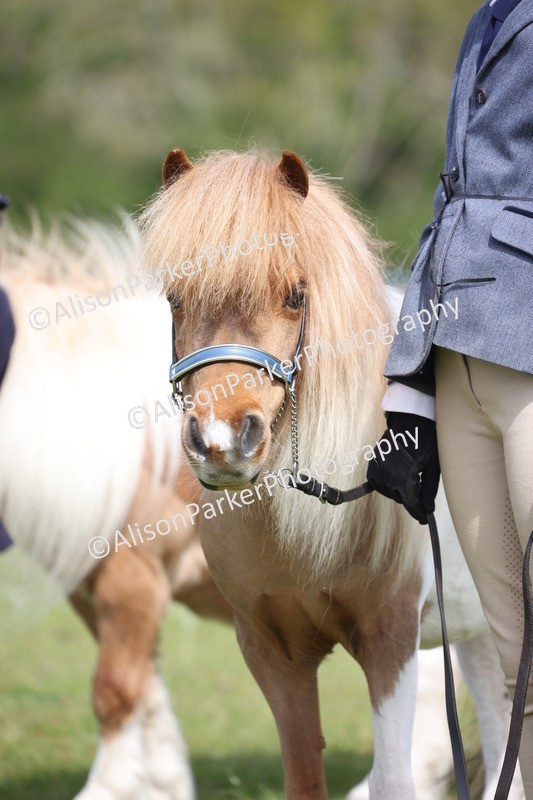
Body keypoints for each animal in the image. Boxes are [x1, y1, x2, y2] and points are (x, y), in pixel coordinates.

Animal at [0, 218, 232, 800]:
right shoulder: (93, 588)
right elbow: (145, 691)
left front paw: (108, 786)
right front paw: (164, 782)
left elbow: (115, 690)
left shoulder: (131, 578)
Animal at [138, 147, 524, 800]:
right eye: (175, 298)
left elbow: (391, 780)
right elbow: (303, 777)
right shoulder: (273, 653)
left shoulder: (390, 642)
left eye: (296, 295)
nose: (222, 442)